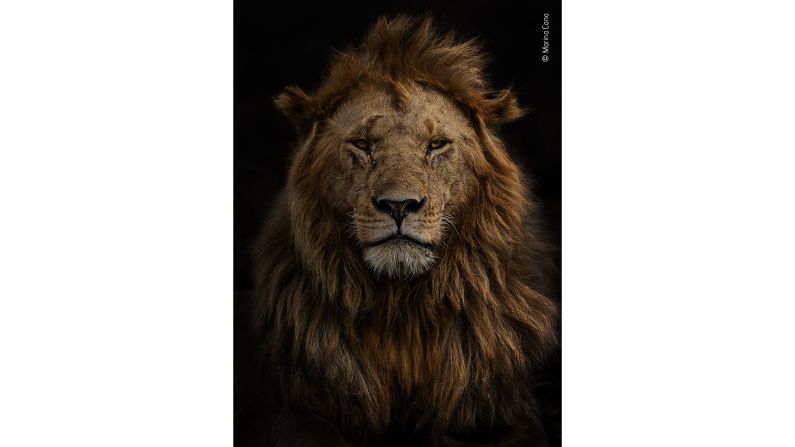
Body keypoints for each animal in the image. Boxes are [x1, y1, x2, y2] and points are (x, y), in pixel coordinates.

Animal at [253, 15, 560, 447]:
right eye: (362, 144)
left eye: (436, 144)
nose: (399, 205)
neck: (402, 309)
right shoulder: (299, 409)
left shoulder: (509, 412)